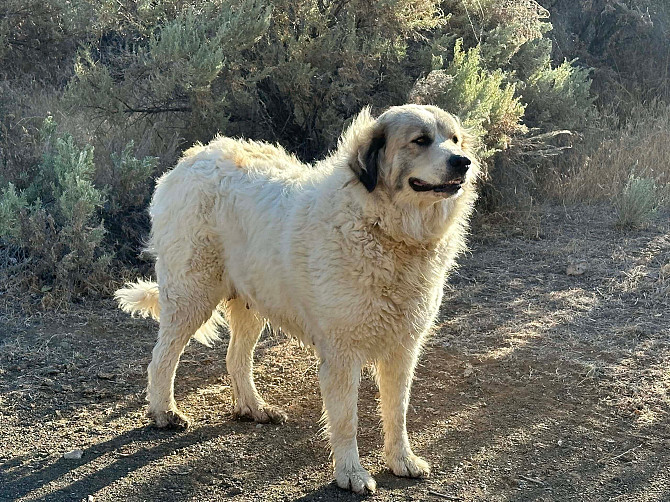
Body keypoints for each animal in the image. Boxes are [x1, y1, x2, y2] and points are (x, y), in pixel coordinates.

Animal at [118, 104, 480, 492]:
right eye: (420, 140)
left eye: (454, 139)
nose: (464, 161)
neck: (383, 227)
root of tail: (190, 160)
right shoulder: (341, 353)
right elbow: (346, 420)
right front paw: (350, 473)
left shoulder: (403, 347)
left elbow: (397, 411)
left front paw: (401, 460)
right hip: (191, 296)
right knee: (162, 358)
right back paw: (164, 412)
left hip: (252, 301)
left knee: (236, 358)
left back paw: (253, 407)